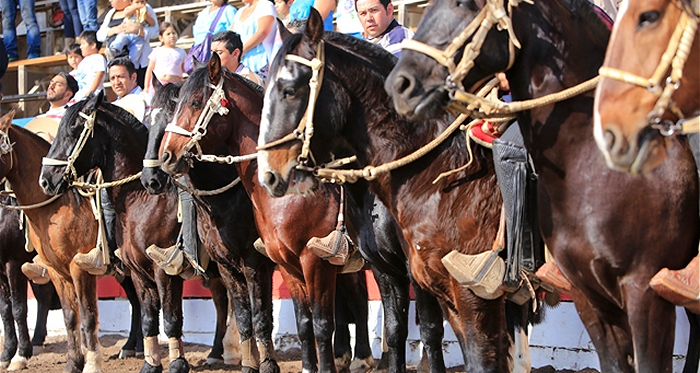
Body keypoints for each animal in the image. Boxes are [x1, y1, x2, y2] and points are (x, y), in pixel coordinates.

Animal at [37, 93, 189, 372]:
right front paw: (151, 364)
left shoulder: (165, 271)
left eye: (74, 130)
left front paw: (177, 364)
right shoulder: (138, 272)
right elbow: (149, 317)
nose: (46, 180)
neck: (143, 201)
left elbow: (171, 317)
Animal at [139, 79, 278, 372]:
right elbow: (244, 315)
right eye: (148, 120)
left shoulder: (255, 263)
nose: (151, 178)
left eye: (173, 114)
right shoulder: (225, 265)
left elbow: (260, 315)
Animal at [157, 56, 448, 372]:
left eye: (196, 102)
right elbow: (302, 323)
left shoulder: (306, 263)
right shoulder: (283, 265)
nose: (166, 156)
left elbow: (317, 324)